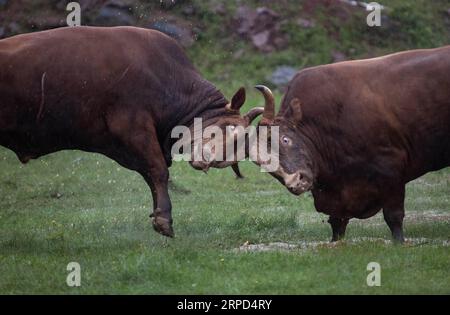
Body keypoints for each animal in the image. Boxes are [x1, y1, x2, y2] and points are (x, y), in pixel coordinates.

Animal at [0, 27, 262, 238]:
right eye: (228, 129)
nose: (206, 159)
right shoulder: (133, 127)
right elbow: (158, 171)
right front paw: (164, 219)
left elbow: (151, 175)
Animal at [256, 45, 450, 243]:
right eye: (259, 162)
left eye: (285, 139)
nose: (295, 182)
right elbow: (337, 221)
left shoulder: (392, 169)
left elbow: (393, 216)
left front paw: (399, 242)